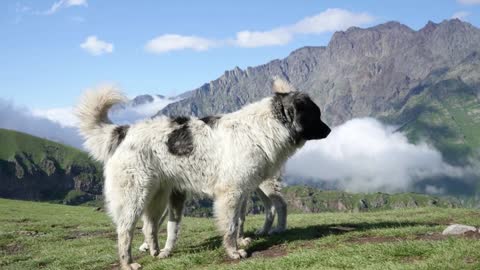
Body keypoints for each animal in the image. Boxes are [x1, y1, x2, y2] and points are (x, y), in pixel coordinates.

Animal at [76, 78, 330, 270]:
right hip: (135, 196)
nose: (329, 130)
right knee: (124, 230)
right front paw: (234, 252)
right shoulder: (231, 192)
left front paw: (240, 243)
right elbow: (230, 225)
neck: (264, 127)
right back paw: (128, 263)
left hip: (158, 196)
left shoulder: (241, 191)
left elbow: (238, 221)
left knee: (149, 226)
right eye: (315, 114)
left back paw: (156, 252)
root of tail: (123, 131)